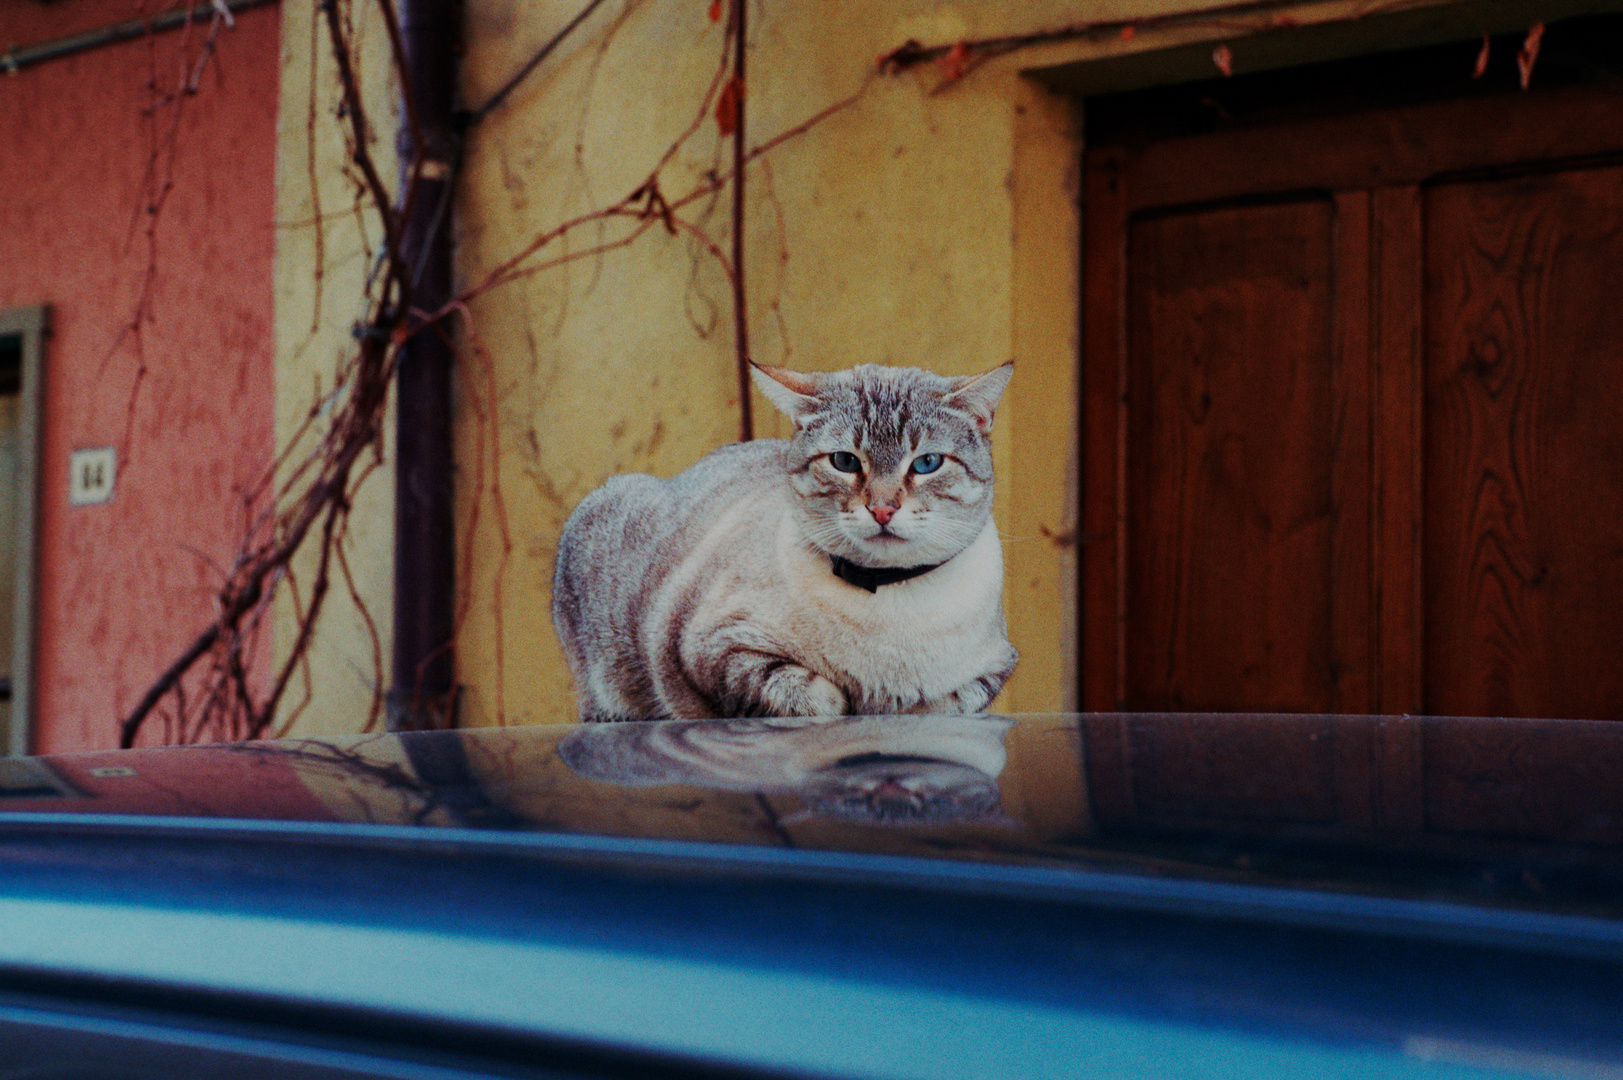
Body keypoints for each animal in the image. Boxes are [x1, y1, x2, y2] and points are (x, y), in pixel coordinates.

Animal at [555, 362, 1012, 724]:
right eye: (844, 461)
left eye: (927, 463)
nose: (882, 509)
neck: (889, 601)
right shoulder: (713, 650)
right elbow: (816, 696)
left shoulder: (994, 669)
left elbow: (943, 703)